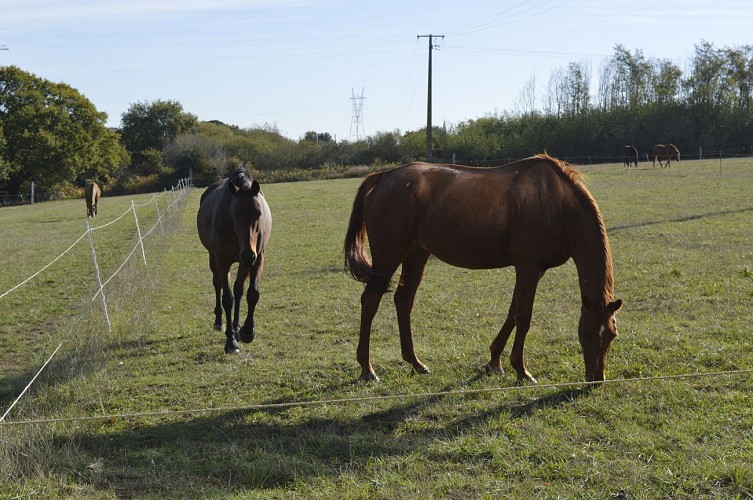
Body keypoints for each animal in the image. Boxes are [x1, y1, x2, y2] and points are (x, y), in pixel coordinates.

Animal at [198, 166, 272, 354]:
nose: (247, 254)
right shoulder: (222, 260)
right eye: (235, 213)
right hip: (213, 258)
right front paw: (231, 340)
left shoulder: (257, 257)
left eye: (258, 213)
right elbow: (227, 298)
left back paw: (238, 327)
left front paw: (247, 331)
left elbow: (251, 293)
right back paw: (219, 322)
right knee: (218, 285)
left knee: (239, 291)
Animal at [344, 155, 620, 382]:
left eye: (611, 335)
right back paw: (367, 369)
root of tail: (385, 176)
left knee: (403, 300)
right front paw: (521, 370)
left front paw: (495, 361)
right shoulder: (529, 268)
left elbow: (512, 314)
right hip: (388, 256)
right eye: (585, 334)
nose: (596, 379)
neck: (557, 204)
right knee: (370, 301)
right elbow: (524, 317)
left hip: (416, 254)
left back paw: (415, 362)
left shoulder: (530, 270)